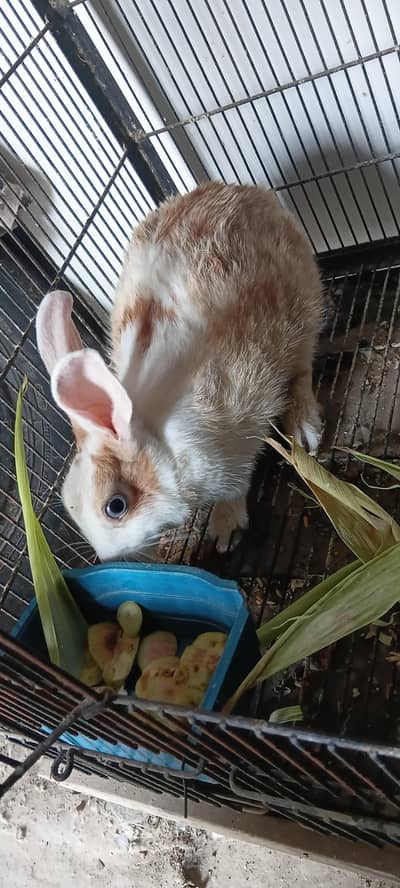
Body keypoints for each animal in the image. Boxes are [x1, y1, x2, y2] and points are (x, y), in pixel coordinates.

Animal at [36, 181, 323, 561]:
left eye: (116, 506)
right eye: (69, 507)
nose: (111, 559)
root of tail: (247, 190)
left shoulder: (239, 443)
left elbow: (236, 488)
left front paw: (224, 531)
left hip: (303, 310)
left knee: (303, 368)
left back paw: (305, 430)